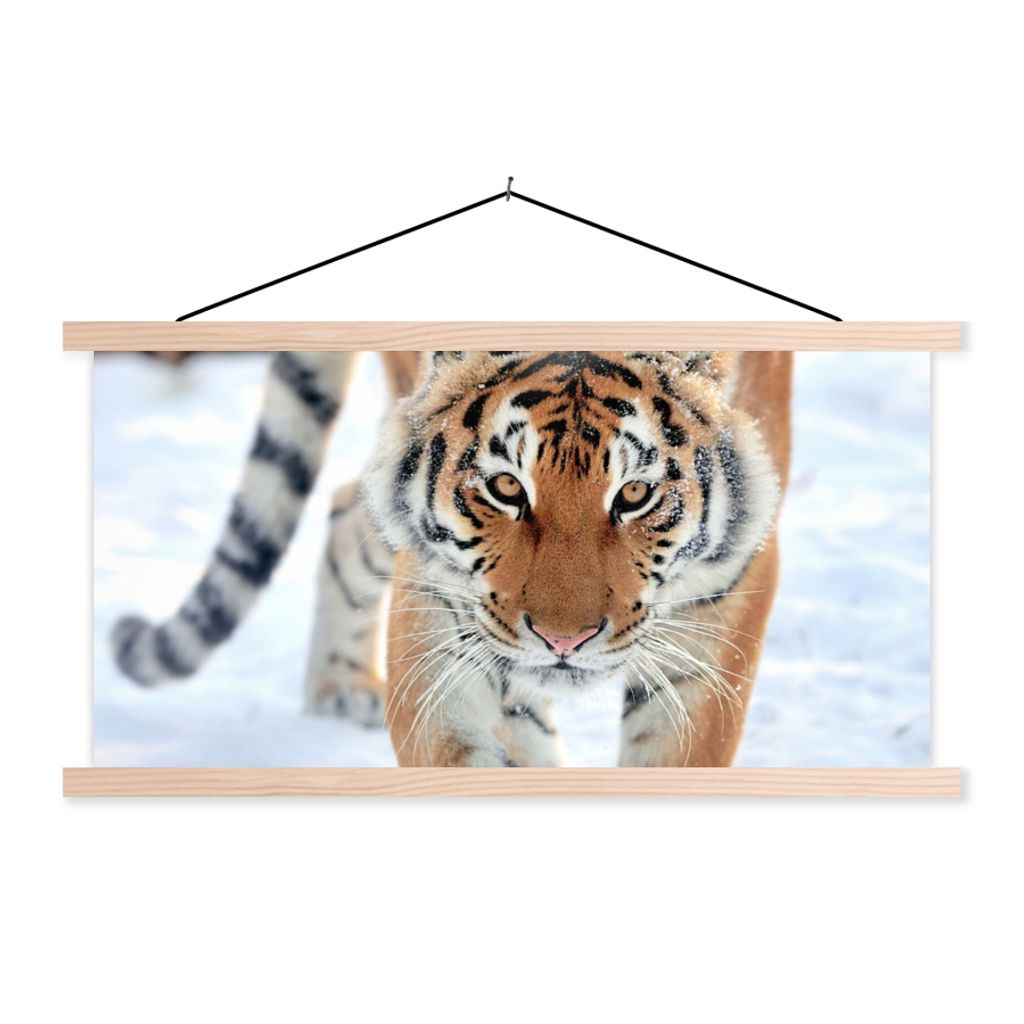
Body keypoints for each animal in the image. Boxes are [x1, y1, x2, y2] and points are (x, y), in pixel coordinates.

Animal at [112, 348, 791, 767]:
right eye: (507, 487)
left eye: (633, 494)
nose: (563, 641)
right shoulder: (446, 609)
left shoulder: (723, 599)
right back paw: (339, 689)